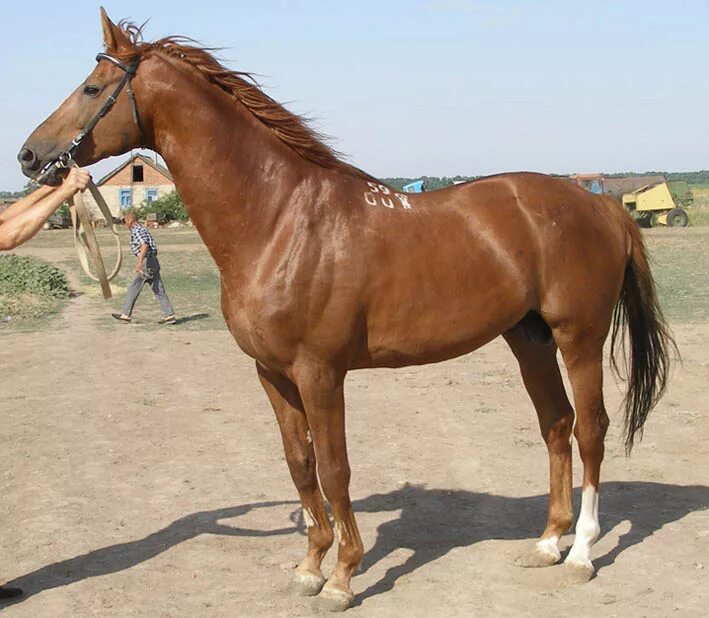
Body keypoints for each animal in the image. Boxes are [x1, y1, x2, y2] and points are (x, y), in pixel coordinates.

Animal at [19, 9, 676, 612]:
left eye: (92, 88)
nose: (29, 157)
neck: (279, 219)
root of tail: (602, 206)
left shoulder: (320, 372)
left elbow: (336, 469)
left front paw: (341, 576)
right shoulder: (272, 374)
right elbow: (300, 464)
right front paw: (310, 566)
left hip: (578, 336)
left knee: (590, 430)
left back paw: (583, 552)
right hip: (530, 339)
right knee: (556, 425)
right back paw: (547, 543)